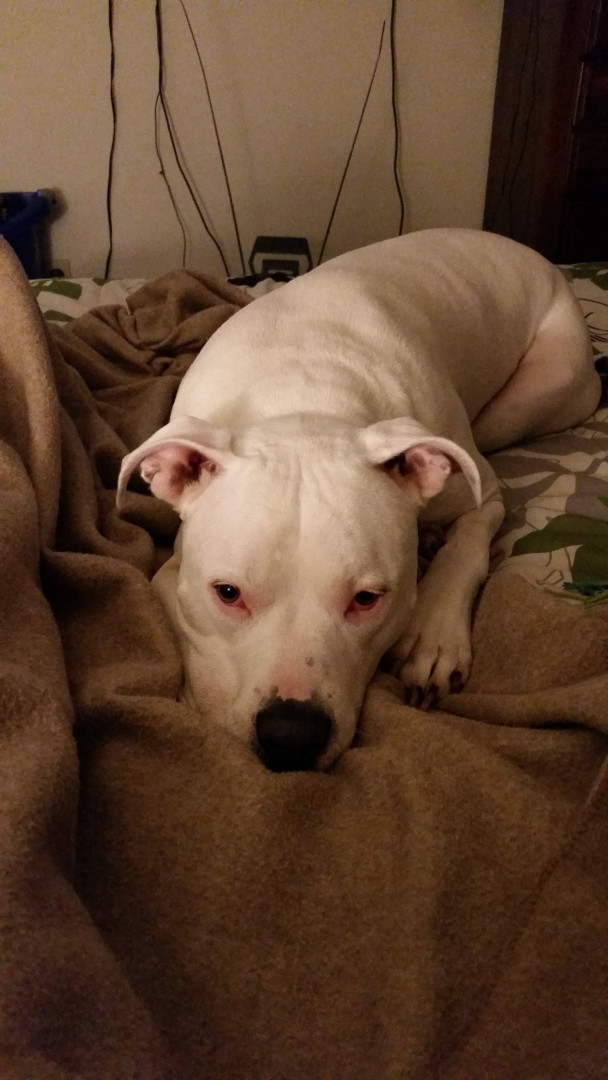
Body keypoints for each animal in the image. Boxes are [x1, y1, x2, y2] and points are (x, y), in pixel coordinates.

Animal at [118, 228, 600, 772]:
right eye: (227, 593)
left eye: (367, 599)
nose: (291, 735)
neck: (304, 398)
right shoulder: (171, 566)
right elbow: (176, 609)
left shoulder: (485, 492)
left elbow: (468, 547)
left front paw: (433, 636)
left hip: (526, 401)